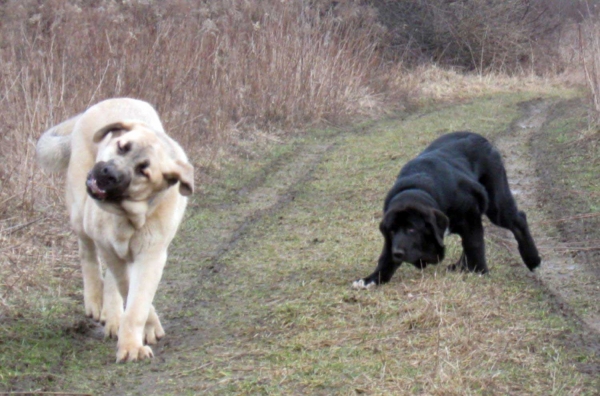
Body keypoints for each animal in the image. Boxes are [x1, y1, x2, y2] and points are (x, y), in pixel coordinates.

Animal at [35, 99, 193, 362]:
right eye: (122, 146)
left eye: (143, 171)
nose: (109, 173)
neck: (128, 216)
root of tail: (112, 100)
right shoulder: (110, 248)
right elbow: (128, 288)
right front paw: (144, 331)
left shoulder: (151, 256)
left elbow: (137, 303)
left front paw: (132, 343)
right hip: (80, 213)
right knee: (87, 253)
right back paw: (95, 301)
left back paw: (112, 316)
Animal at [354, 131, 540, 290]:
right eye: (392, 231)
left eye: (412, 229)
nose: (398, 253)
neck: (418, 187)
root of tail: (481, 138)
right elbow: (385, 256)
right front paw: (371, 279)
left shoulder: (470, 215)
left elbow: (474, 243)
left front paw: (479, 271)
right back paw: (460, 266)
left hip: (496, 204)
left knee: (518, 220)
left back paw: (533, 260)